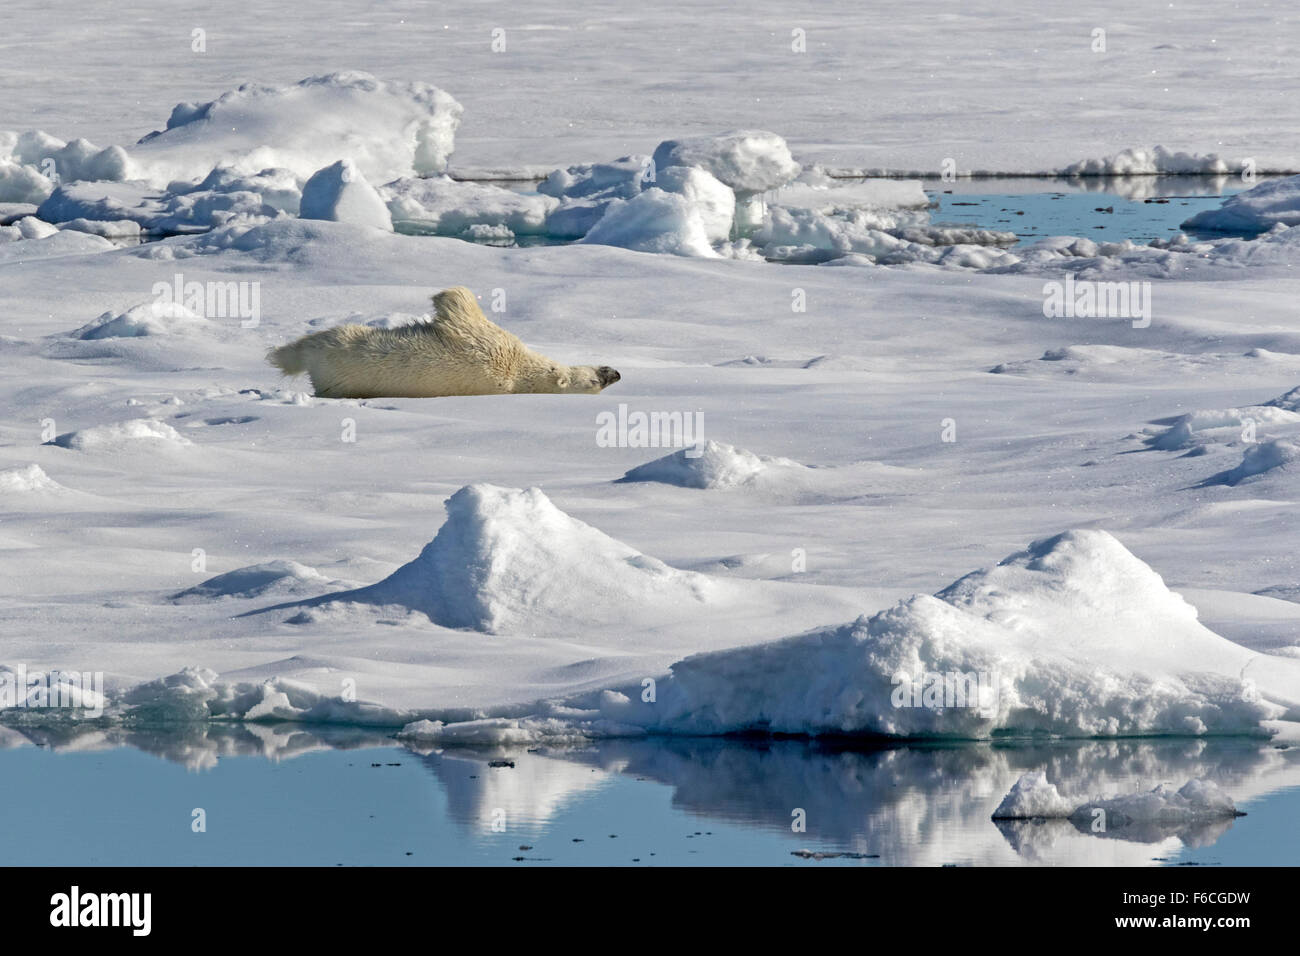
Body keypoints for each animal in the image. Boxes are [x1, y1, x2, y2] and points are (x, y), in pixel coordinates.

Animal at [263, 287, 618, 400]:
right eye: (596, 379)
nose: (614, 373)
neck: (520, 375)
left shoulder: (490, 346)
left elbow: (459, 305)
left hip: (337, 356)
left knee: (316, 343)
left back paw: (279, 355)